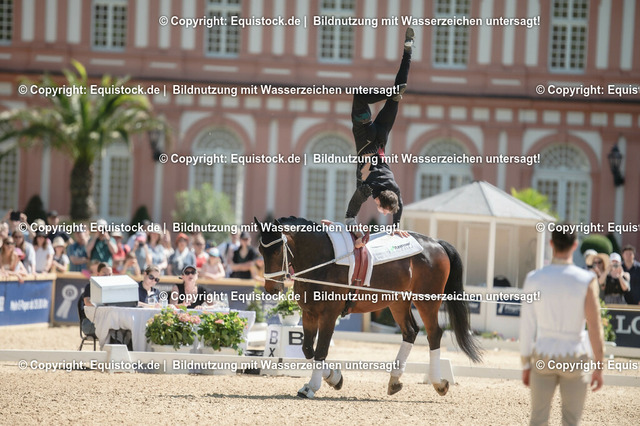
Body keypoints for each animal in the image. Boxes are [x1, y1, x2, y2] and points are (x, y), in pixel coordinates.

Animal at [255, 216, 482, 398]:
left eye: (277, 250)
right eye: (260, 251)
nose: (272, 288)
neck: (322, 261)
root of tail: (436, 244)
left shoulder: (329, 315)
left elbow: (321, 350)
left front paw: (312, 386)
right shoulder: (309, 313)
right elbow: (307, 349)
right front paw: (334, 378)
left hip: (427, 301)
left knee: (434, 334)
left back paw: (438, 384)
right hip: (398, 301)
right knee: (410, 332)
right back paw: (395, 381)